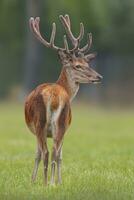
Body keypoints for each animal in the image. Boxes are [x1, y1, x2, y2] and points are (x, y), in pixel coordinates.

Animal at [24, 14, 102, 186]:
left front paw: (35, 181)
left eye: (87, 63)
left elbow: (42, 154)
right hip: (58, 123)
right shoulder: (65, 128)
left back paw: (47, 183)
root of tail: (53, 96)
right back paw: (49, 183)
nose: (99, 76)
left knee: (49, 152)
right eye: (78, 66)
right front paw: (53, 181)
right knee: (51, 152)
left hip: (46, 123)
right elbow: (56, 155)